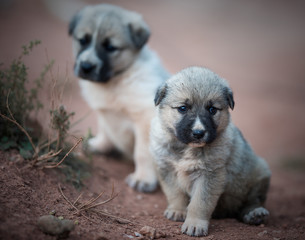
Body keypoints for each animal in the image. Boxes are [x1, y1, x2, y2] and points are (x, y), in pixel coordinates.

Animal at [68, 3, 169, 192]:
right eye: (83, 40)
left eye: (110, 47)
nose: (86, 66)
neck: (117, 80)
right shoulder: (105, 113)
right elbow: (106, 131)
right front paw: (99, 145)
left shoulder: (145, 120)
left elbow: (142, 153)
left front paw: (143, 179)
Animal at [148, 66, 270, 237]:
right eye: (183, 108)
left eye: (212, 109)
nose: (198, 133)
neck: (187, 148)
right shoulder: (167, 168)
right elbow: (175, 193)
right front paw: (177, 211)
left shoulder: (209, 174)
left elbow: (200, 202)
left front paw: (195, 224)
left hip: (259, 174)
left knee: (253, 200)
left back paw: (254, 214)